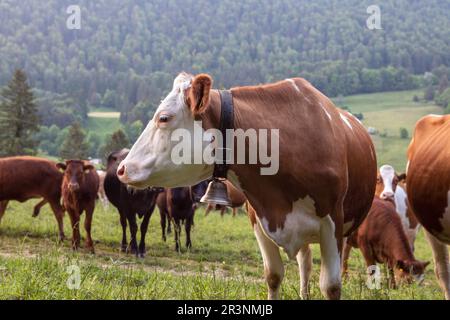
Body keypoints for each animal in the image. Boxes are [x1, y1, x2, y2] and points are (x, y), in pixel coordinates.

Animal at [116, 72, 376, 300]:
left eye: (164, 118)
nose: (121, 168)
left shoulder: (333, 223)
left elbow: (331, 286)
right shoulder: (258, 218)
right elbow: (273, 276)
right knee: (305, 264)